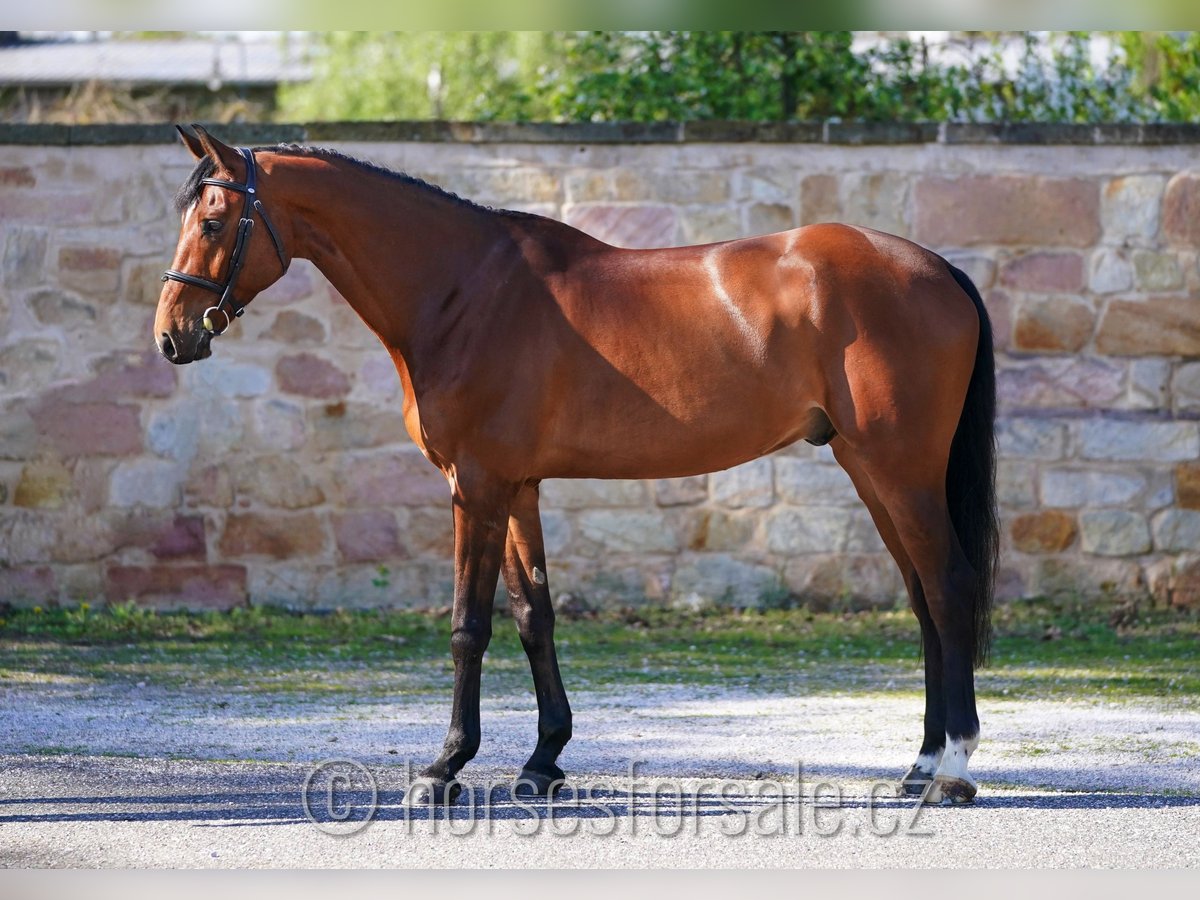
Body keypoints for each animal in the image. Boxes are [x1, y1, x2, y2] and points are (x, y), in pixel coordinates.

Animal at [154, 123, 998, 806]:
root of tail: (937, 269)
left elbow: (468, 625)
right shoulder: (519, 487)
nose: (173, 334)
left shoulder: (476, 487)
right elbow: (535, 616)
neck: (463, 291)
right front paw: (543, 762)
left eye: (215, 220)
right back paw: (920, 765)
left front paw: (443, 769)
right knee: (923, 599)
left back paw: (953, 771)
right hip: (872, 472)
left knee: (950, 587)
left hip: (901, 470)